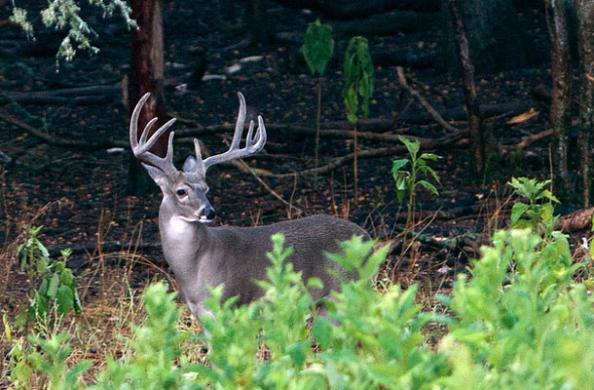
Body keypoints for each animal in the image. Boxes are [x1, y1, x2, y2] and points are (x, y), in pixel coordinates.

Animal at [129, 91, 368, 320]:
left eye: (206, 188)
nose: (209, 212)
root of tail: (367, 237)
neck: (193, 269)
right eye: (181, 191)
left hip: (342, 292)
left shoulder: (230, 303)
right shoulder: (200, 313)